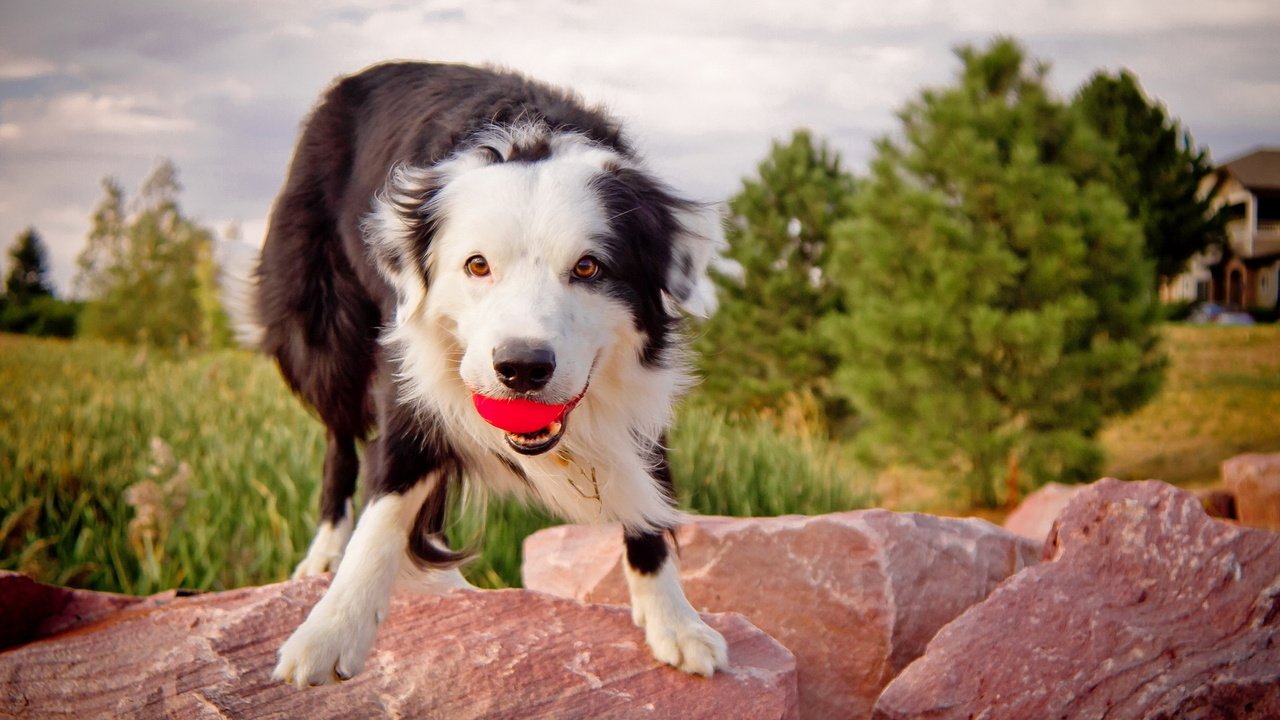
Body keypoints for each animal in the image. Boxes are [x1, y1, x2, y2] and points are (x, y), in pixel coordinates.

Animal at [240, 63, 732, 681]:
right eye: (477, 265)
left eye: (588, 267)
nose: (522, 368)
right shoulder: (407, 375)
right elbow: (387, 499)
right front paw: (330, 631)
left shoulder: (636, 390)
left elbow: (650, 494)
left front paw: (674, 620)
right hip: (322, 332)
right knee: (340, 440)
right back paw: (327, 551)